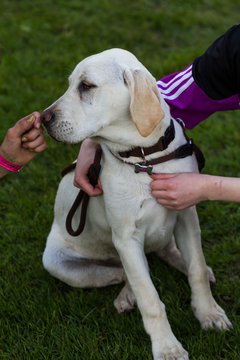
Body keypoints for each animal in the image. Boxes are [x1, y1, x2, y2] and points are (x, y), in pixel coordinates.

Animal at [42, 49, 232, 360]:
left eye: (86, 86)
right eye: (71, 84)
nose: (42, 120)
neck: (145, 158)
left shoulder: (186, 215)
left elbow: (196, 269)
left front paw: (209, 314)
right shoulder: (127, 237)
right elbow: (150, 297)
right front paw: (167, 347)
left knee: (170, 254)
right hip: (63, 263)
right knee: (124, 273)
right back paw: (126, 294)